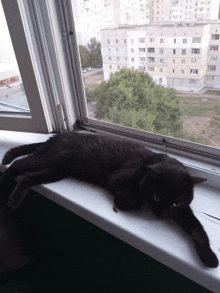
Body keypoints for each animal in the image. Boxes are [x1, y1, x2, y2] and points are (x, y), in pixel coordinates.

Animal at [0, 132, 218, 266]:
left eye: (175, 202)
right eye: (157, 197)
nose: (162, 214)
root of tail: (55, 137)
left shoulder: (183, 210)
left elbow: (197, 228)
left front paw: (210, 258)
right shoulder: (116, 179)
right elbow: (133, 201)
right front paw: (122, 202)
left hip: (55, 171)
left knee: (27, 177)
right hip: (48, 161)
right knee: (18, 165)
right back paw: (7, 189)